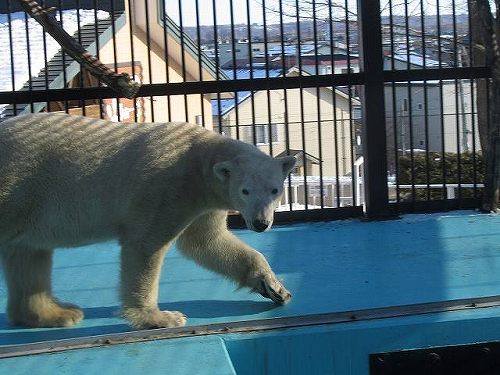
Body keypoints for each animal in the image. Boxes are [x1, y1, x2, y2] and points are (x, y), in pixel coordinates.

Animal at [0, 113, 294, 330]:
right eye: (245, 191)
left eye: (274, 190)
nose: (260, 223)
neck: (198, 157)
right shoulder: (166, 186)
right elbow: (145, 244)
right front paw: (161, 318)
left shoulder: (204, 202)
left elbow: (206, 243)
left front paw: (275, 288)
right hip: (19, 185)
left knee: (28, 254)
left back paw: (58, 313)